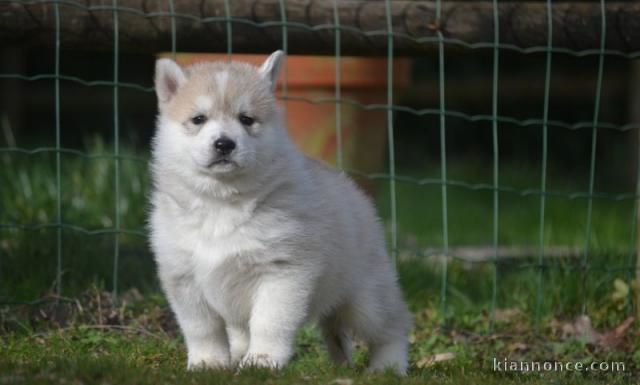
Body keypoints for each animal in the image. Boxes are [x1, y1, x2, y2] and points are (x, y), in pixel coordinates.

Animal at [149, 50, 410, 372]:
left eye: (246, 119)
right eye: (198, 119)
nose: (224, 143)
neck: (222, 202)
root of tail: (354, 190)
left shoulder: (282, 272)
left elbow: (269, 322)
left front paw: (263, 360)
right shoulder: (183, 277)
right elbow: (202, 328)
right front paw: (208, 363)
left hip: (366, 299)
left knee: (392, 326)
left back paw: (389, 367)